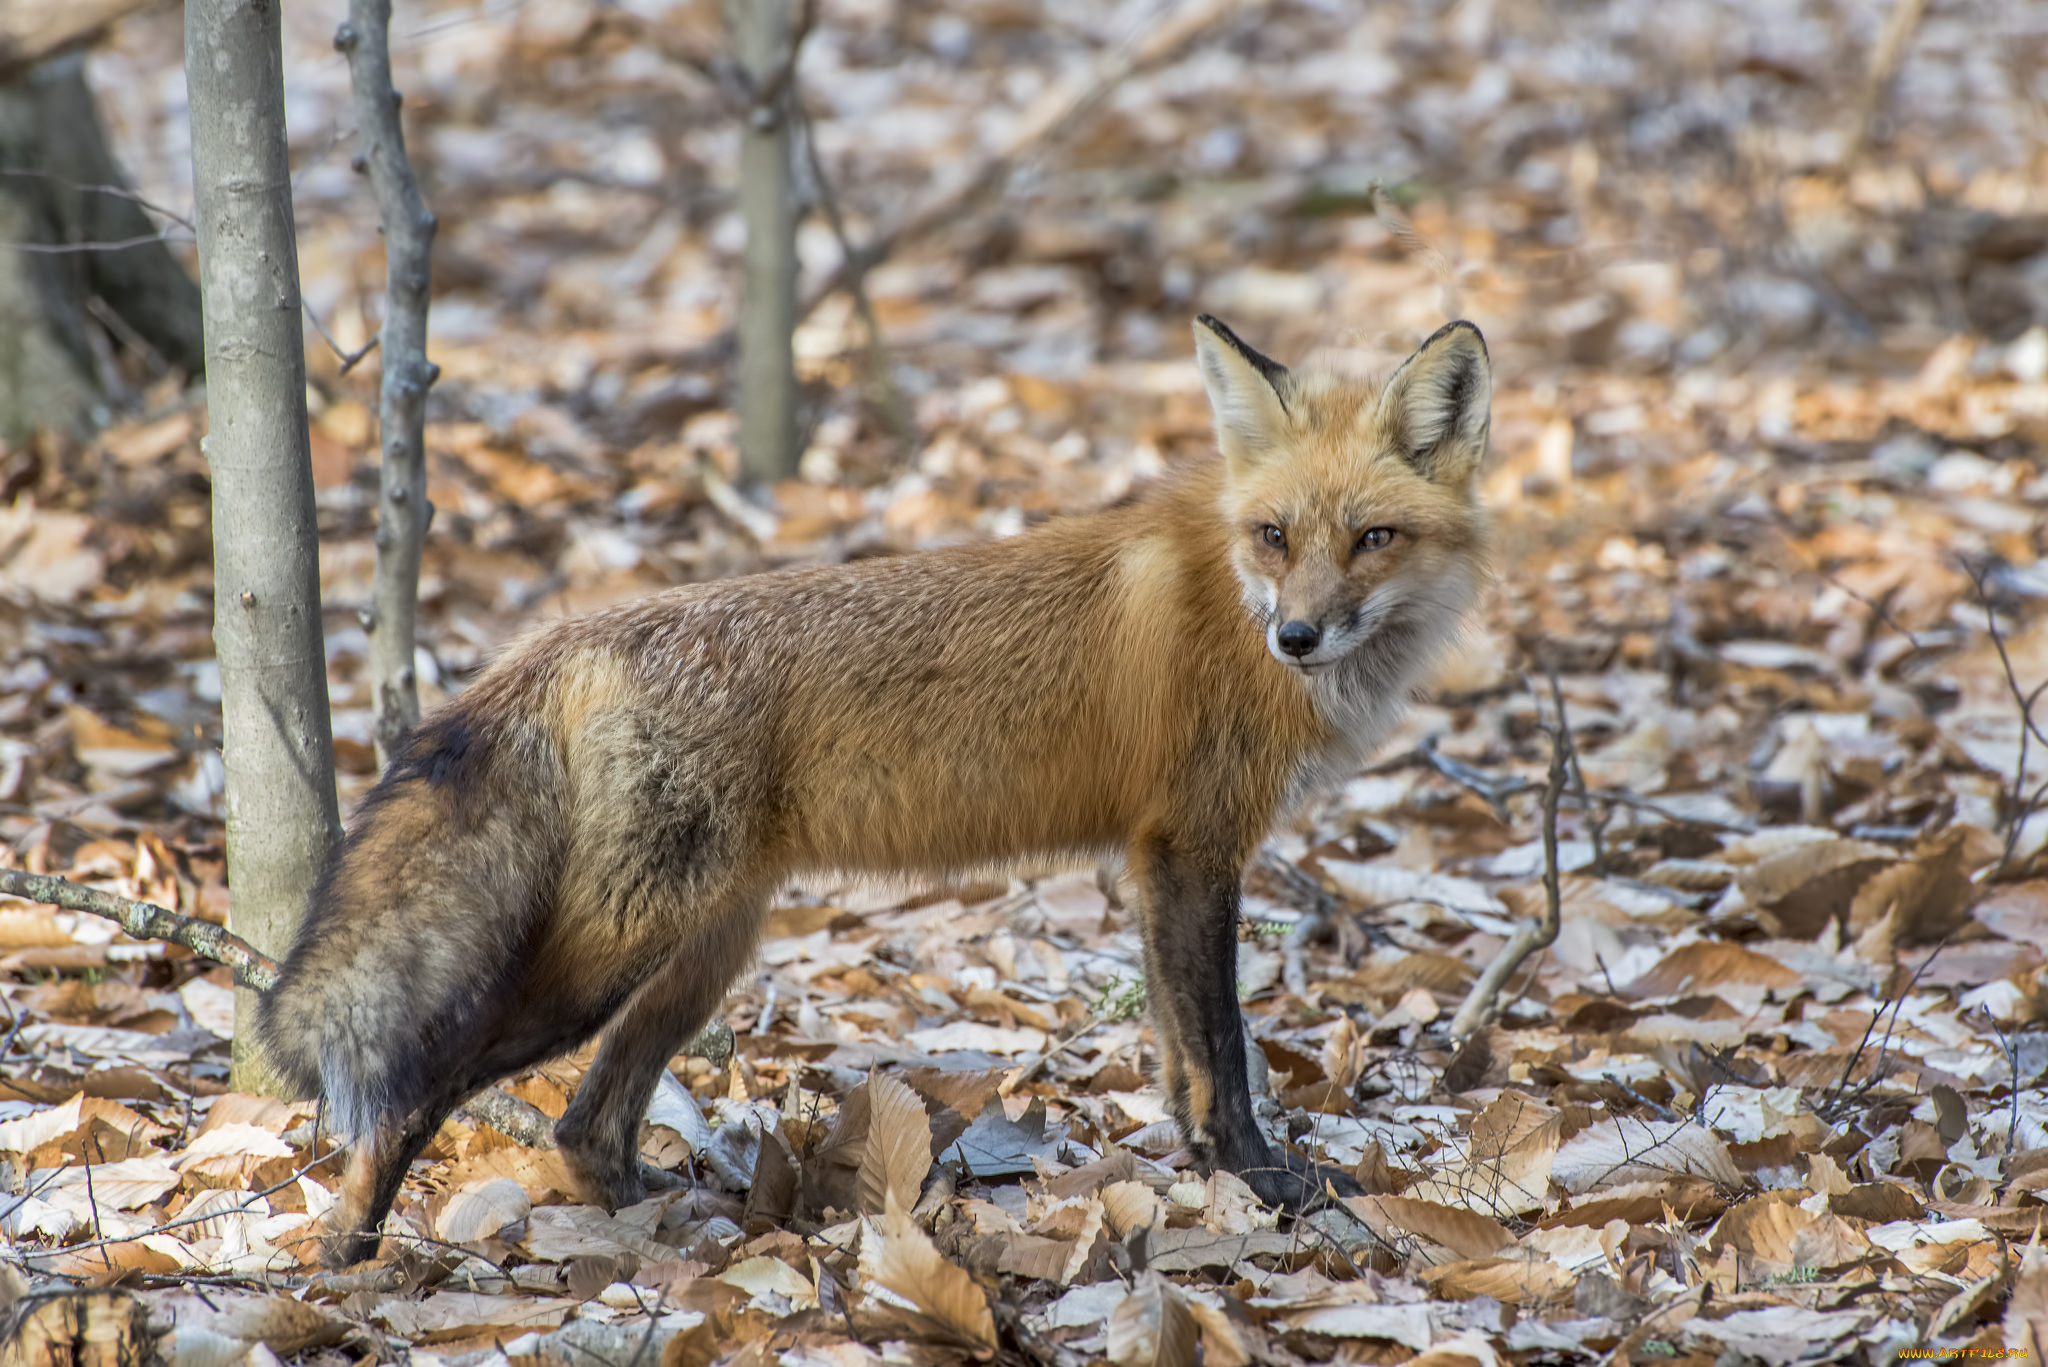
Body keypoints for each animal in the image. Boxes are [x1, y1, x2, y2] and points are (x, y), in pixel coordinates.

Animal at [264, 315, 1499, 1270]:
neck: (1230, 600)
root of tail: (564, 637)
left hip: (703, 952)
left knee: (585, 1124)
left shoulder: (1159, 859)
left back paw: (685, 1226)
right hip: (604, 960)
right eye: (1275, 535)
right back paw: (348, 1249)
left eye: (1373, 537)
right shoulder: (1194, 846)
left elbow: (1177, 1050)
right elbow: (1224, 1052)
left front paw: (1205, 1177)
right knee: (421, 1091)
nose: (1298, 635)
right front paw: (1261, 1182)